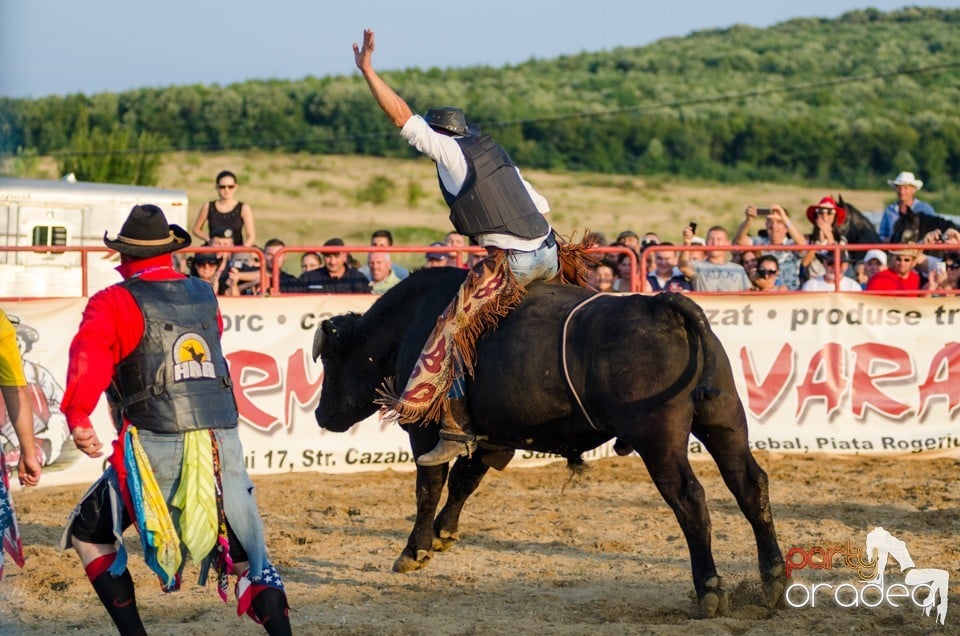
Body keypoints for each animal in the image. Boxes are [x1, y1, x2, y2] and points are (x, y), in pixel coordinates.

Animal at [316, 268, 788, 616]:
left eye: (330, 360)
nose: (321, 415)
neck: (414, 318)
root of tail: (661, 305)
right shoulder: (492, 436)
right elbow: (465, 481)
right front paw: (443, 534)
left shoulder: (426, 432)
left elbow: (429, 488)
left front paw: (414, 549)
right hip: (724, 422)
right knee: (750, 486)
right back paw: (774, 579)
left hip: (660, 441)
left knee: (689, 498)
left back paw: (709, 587)